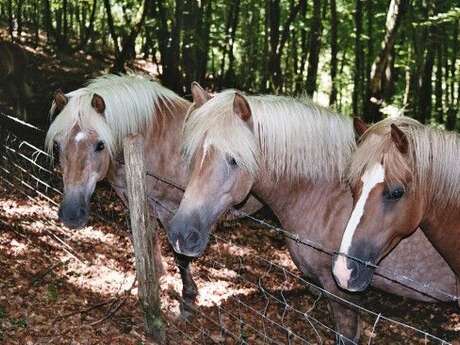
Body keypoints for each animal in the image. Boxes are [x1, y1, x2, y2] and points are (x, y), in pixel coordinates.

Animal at [45, 74, 262, 316]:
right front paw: (153, 282)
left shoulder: (172, 211)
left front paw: (187, 297)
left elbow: (180, 256)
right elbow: (148, 241)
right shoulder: (140, 204)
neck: (153, 140)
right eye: (57, 145)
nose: (71, 214)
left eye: (100, 145)